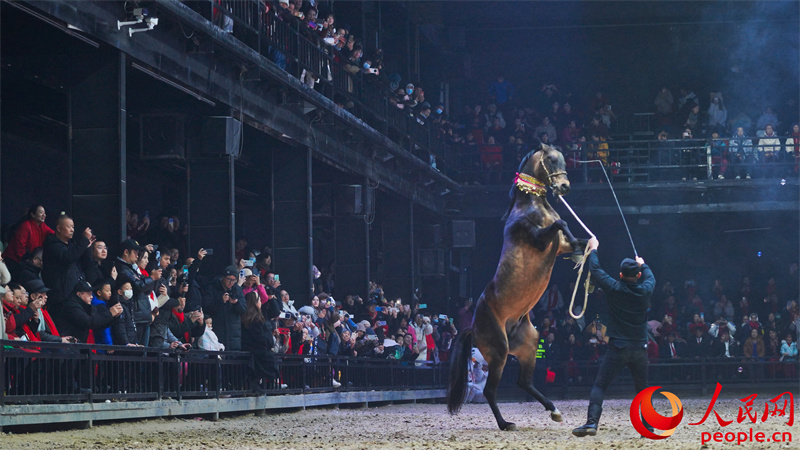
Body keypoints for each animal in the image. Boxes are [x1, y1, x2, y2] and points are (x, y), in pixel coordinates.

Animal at [446, 146, 584, 430]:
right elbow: (562, 224)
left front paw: (583, 251)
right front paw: (579, 248)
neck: (531, 206)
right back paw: (505, 424)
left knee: (524, 382)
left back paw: (554, 410)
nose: (564, 186)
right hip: (498, 353)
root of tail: (474, 328)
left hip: (528, 345)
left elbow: (575, 237)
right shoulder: (541, 240)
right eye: (551, 159)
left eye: (564, 159)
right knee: (490, 391)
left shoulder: (558, 247)